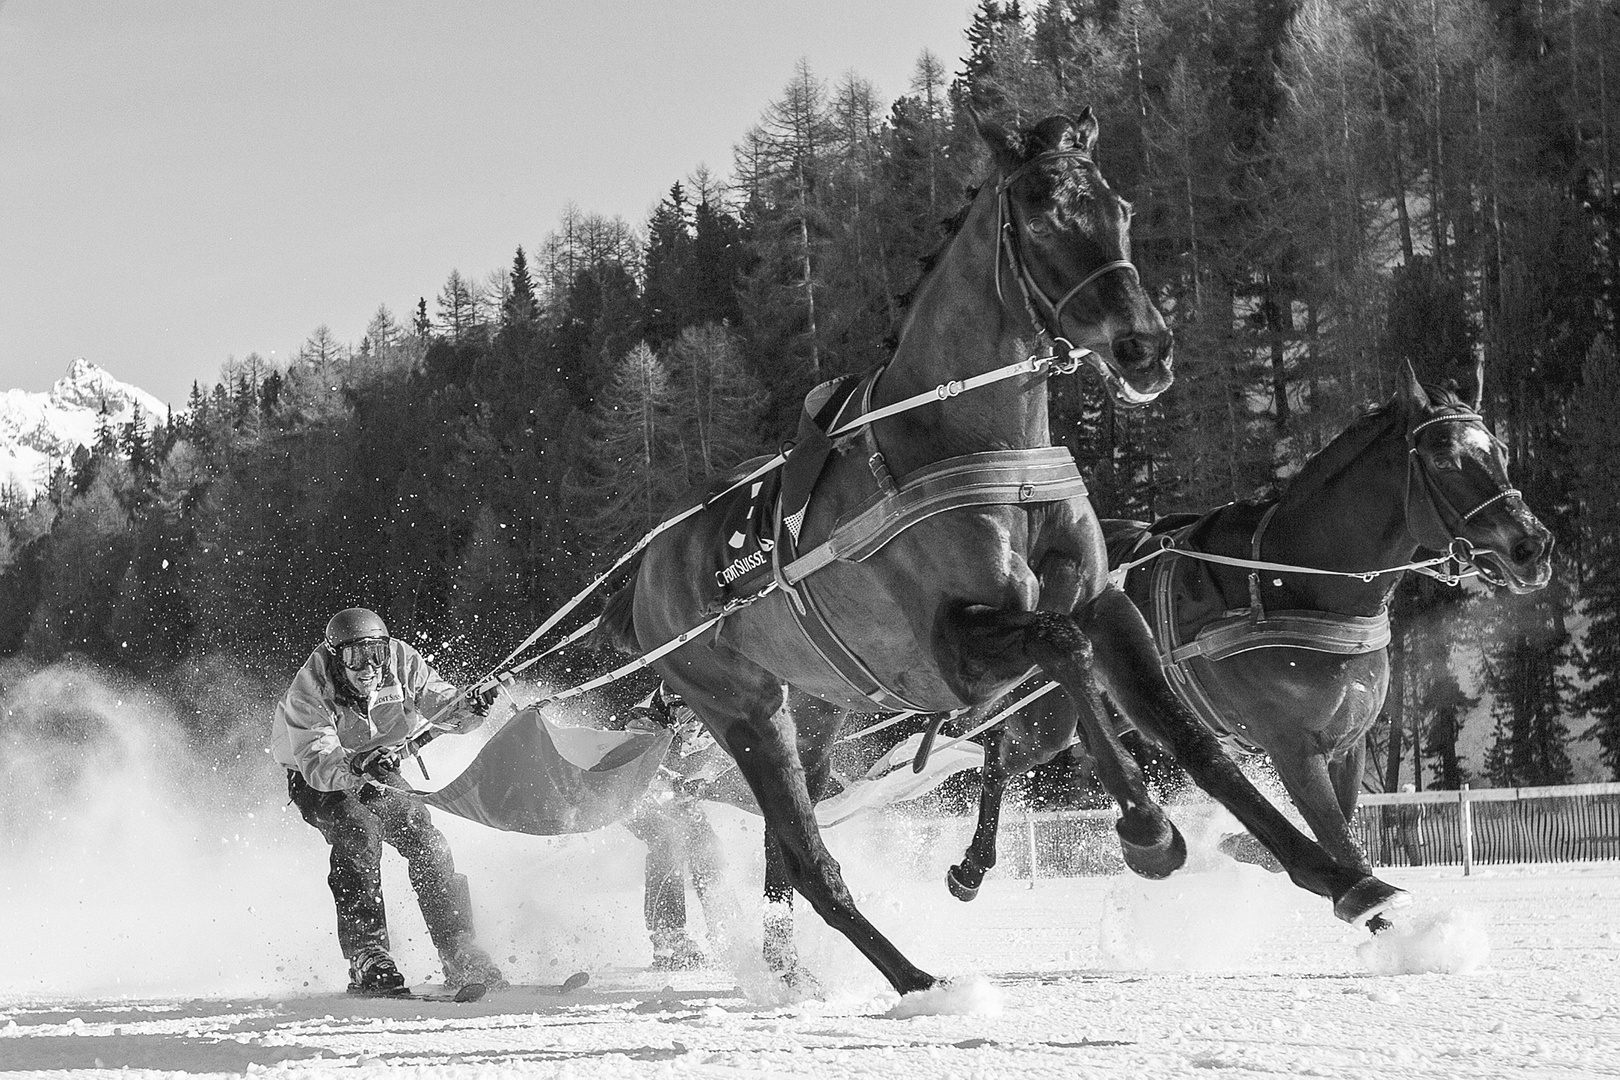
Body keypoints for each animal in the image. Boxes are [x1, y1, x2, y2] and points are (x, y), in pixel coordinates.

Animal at [596, 110, 1406, 997]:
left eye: (1121, 207)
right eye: (1044, 212)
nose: (1146, 348)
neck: (972, 438)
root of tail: (649, 567)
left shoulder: (1108, 602)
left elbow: (1188, 737)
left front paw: (1345, 879)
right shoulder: (957, 653)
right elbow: (1061, 644)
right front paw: (1147, 831)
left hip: (814, 702)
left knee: (788, 843)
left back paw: (800, 971)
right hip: (739, 705)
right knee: (808, 855)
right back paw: (916, 981)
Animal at [946, 367, 1555, 900]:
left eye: (1500, 451)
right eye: (1445, 459)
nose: (1533, 546)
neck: (1296, 582)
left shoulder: (1347, 743)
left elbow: (1339, 828)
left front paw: (1246, 846)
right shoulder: (1292, 746)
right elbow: (1343, 845)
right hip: (1047, 719)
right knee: (999, 758)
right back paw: (975, 865)